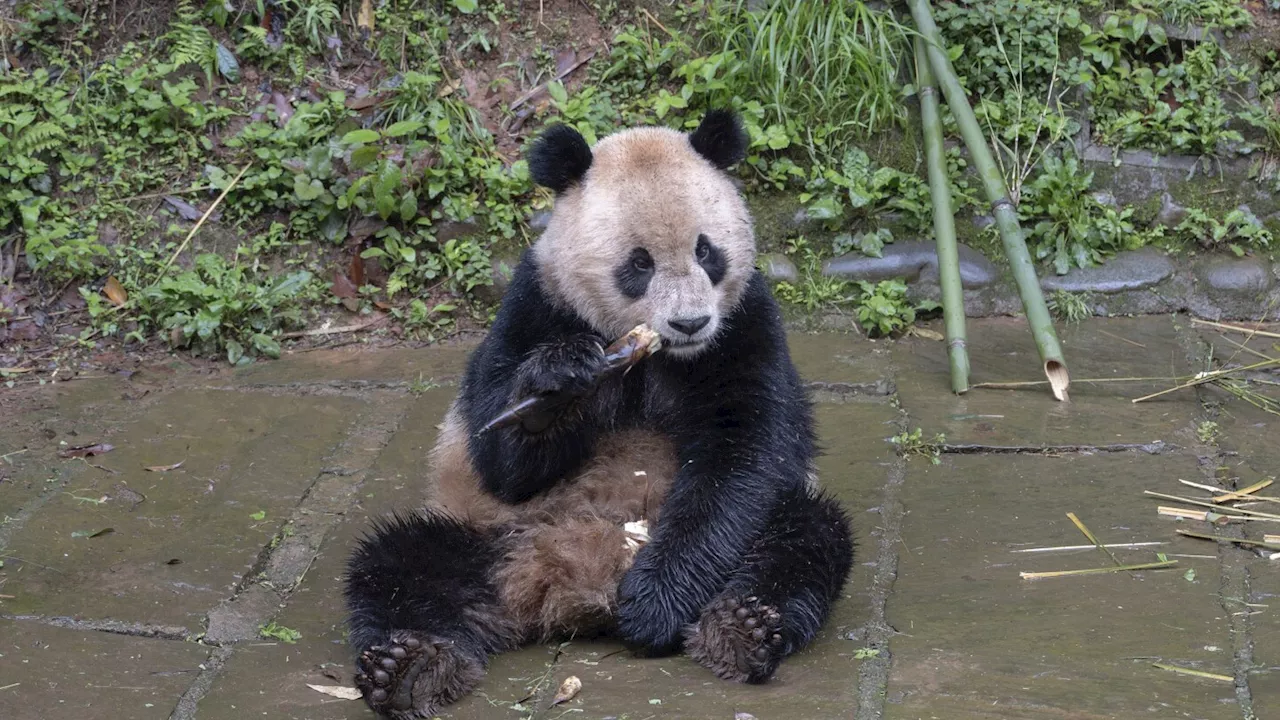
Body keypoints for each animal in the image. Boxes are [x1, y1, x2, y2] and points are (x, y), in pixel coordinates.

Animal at [345, 109, 855, 712]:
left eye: (707, 252)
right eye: (638, 263)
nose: (689, 323)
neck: (653, 354)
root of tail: (570, 583)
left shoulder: (744, 324)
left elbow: (746, 453)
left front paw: (656, 605)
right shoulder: (537, 304)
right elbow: (497, 453)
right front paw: (556, 387)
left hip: (765, 529)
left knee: (804, 539)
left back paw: (741, 629)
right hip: (486, 535)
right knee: (399, 564)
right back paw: (411, 666)